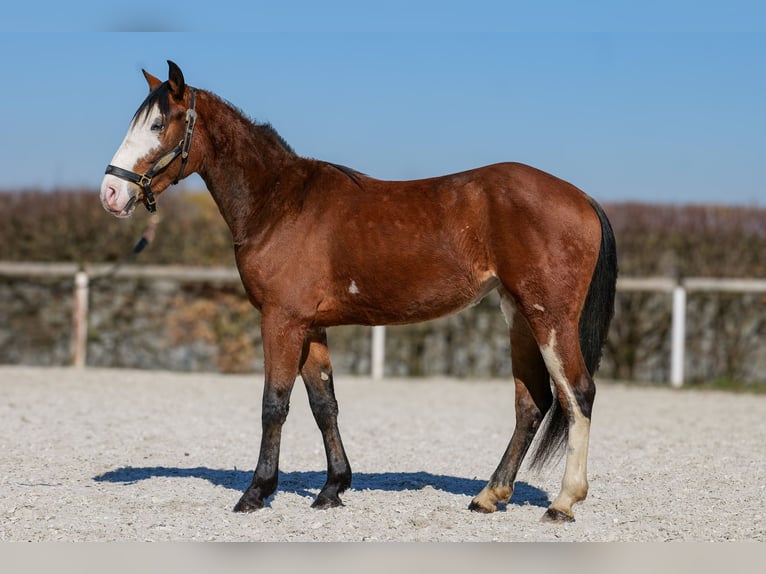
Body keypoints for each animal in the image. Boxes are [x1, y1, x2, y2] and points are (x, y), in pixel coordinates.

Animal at [100, 60, 616, 524]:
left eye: (159, 124)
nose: (110, 193)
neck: (280, 203)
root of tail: (581, 197)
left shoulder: (281, 320)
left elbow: (274, 404)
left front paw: (256, 492)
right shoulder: (311, 326)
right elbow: (324, 405)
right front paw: (332, 489)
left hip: (550, 318)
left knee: (578, 394)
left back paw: (563, 502)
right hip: (519, 315)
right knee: (532, 403)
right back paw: (490, 495)